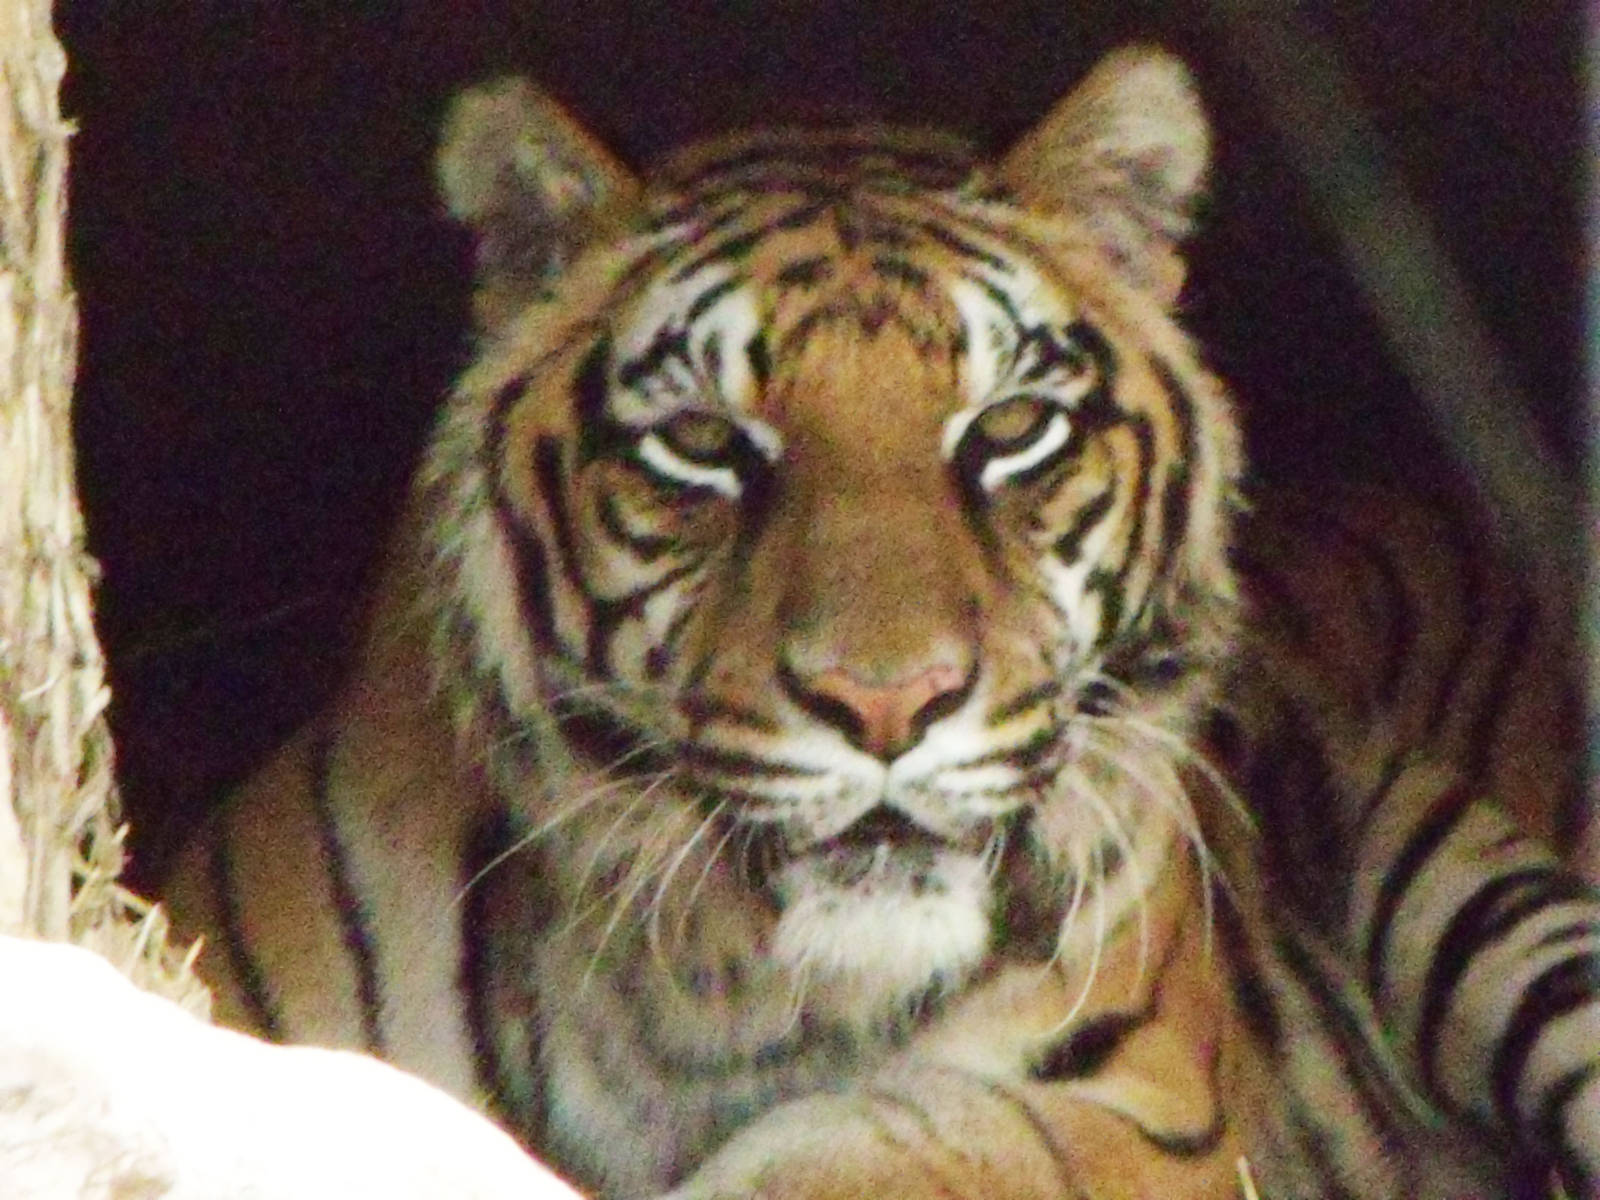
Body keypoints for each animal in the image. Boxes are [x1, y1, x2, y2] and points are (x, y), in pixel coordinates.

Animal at [161, 45, 1599, 1199]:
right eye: (703, 445)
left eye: (1010, 428)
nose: (889, 703)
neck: (703, 1007)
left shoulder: (1119, 1102)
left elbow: (852, 1153)